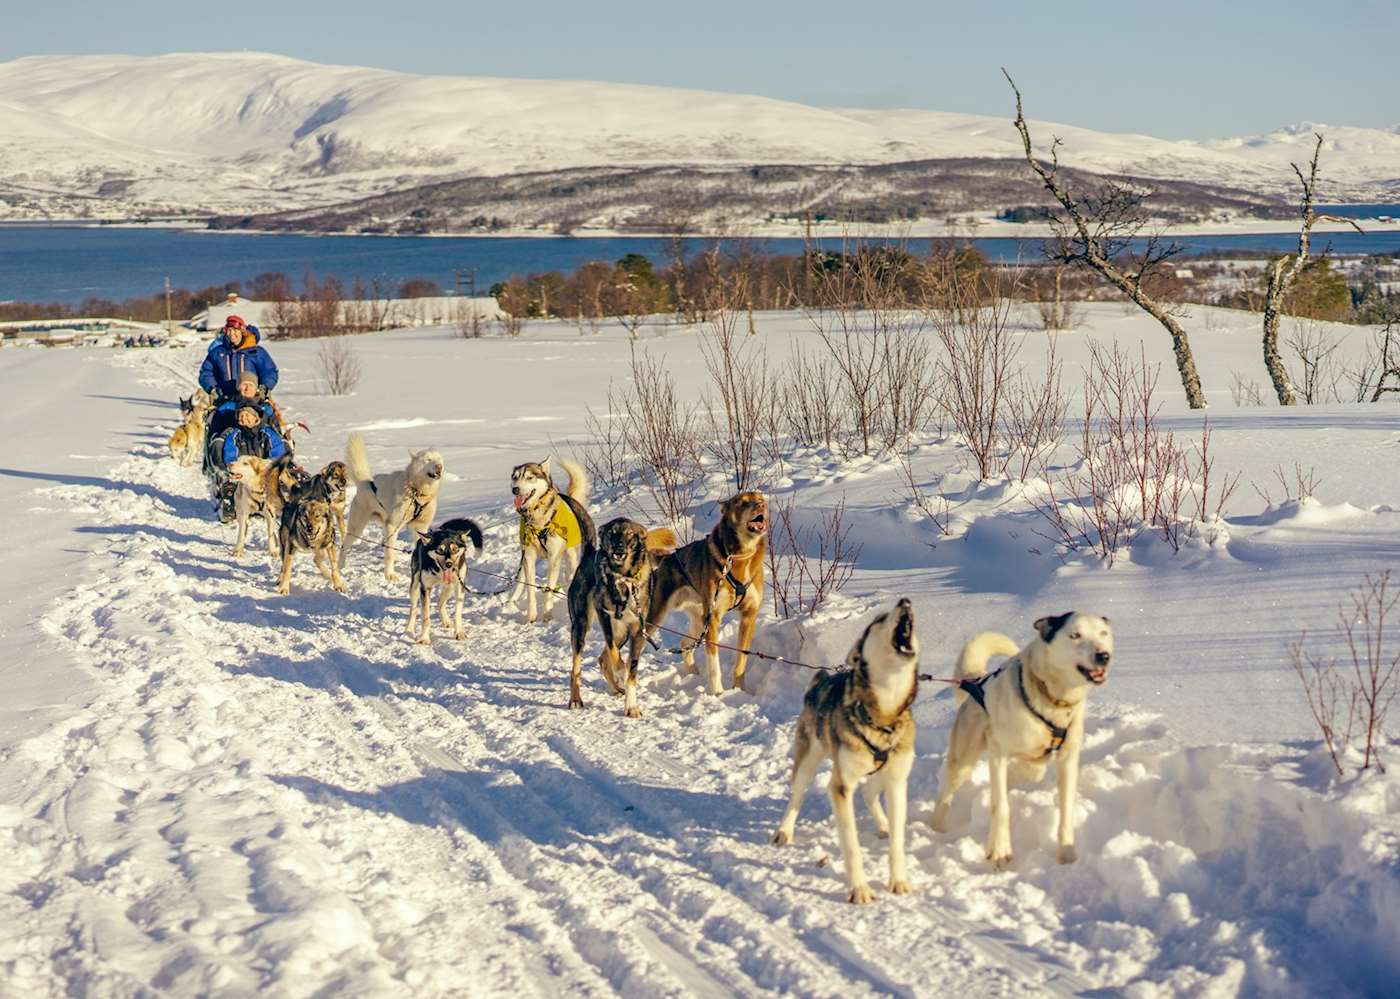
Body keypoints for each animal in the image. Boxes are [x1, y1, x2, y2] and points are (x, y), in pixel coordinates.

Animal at [337, 430, 442, 584]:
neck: (417, 493)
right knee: (345, 546)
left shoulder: (420, 527)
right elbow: (389, 555)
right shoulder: (393, 525)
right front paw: (389, 575)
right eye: (428, 460)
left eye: (439, 459)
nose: (439, 466)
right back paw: (340, 566)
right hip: (357, 528)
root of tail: (364, 483)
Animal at [506, 456, 593, 618]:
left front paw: (547, 616)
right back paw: (511, 601)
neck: (537, 520)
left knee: (569, 575)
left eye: (530, 477)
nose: (515, 489)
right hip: (525, 560)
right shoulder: (529, 557)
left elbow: (549, 590)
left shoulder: (554, 558)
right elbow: (530, 590)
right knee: (521, 580)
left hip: (571, 556)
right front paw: (531, 616)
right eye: (515, 477)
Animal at [641, 489, 767, 693]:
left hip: (700, 620)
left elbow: (741, 660)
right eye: (742, 503)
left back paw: (693, 673)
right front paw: (717, 693)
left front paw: (739, 690)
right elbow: (714, 664)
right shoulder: (713, 618)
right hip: (657, 617)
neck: (740, 557)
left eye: (760, 499)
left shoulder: (749, 616)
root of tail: (667, 558)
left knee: (685, 643)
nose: (760, 505)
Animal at [772, 598, 924, 901]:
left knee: (868, 792)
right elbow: (852, 845)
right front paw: (859, 889)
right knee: (797, 795)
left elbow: (898, 842)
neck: (884, 716)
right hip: (809, 760)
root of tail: (819, 680)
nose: (905, 601)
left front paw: (898, 880)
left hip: (879, 774)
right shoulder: (841, 787)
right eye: (879, 620)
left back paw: (883, 825)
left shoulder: (897, 781)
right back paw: (784, 831)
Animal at [929, 607, 1114, 861]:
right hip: (963, 760)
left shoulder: (1067, 759)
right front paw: (999, 848)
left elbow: (1065, 810)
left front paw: (1067, 854)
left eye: (1103, 633)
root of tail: (976, 681)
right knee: (946, 795)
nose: (1103, 656)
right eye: (1075, 635)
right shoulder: (998, 752)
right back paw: (936, 829)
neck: (1053, 699)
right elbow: (1001, 806)